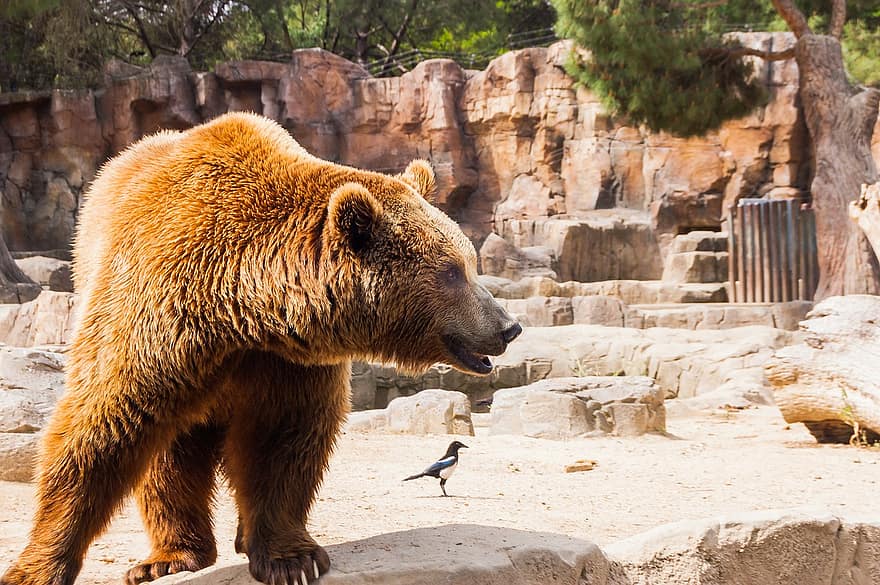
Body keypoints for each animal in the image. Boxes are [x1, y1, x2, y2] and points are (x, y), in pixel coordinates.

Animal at [0, 112, 522, 585]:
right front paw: (36, 567)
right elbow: (103, 423)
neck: (242, 306)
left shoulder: (288, 358)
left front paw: (291, 559)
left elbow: (281, 436)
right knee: (167, 452)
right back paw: (170, 557)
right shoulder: (159, 313)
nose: (508, 326)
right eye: (453, 271)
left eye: (470, 262)